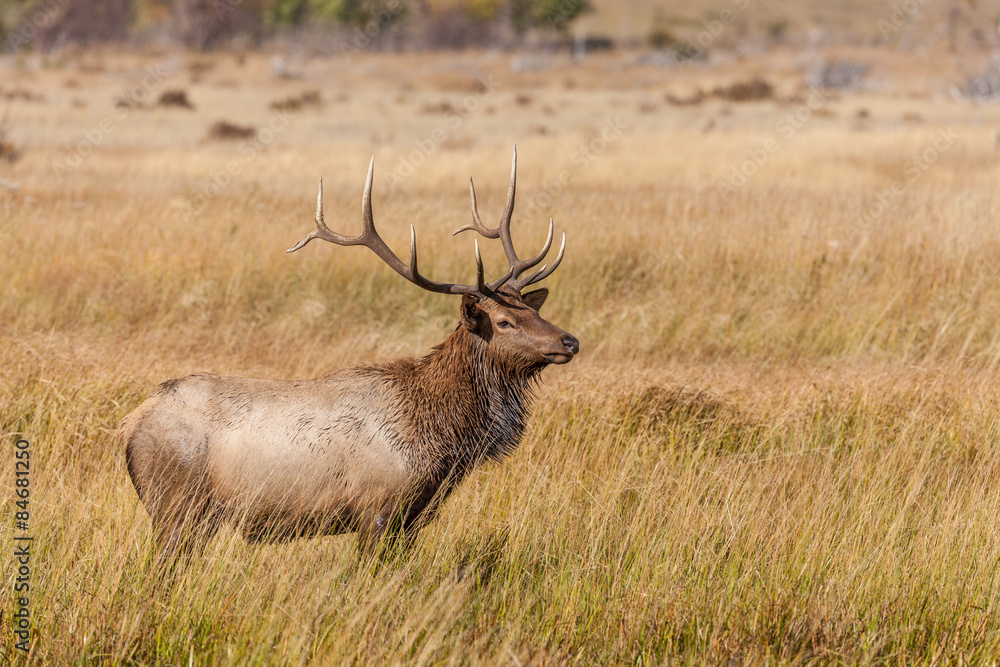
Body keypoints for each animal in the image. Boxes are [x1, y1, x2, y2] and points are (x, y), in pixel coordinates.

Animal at [119, 147, 579, 558]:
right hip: (177, 507)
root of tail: (129, 424)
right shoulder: (378, 509)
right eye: (503, 321)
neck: (443, 442)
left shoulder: (414, 517)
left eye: (535, 310)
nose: (569, 341)